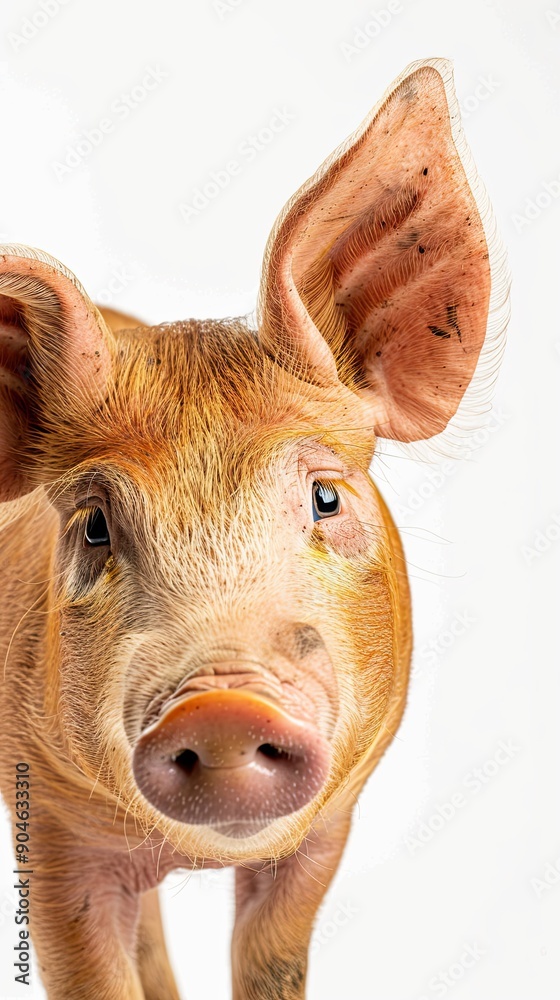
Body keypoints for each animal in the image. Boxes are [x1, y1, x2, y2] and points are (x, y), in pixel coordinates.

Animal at [0, 58, 507, 999]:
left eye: (326, 498)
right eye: (94, 525)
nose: (221, 707)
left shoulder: (327, 829)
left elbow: (272, 960)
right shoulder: (46, 828)